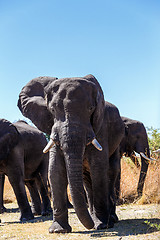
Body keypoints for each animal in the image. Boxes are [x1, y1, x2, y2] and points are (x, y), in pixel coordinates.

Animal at [17, 74, 125, 232]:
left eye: (90, 108)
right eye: (52, 110)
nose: (90, 227)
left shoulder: (101, 127)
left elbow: (98, 169)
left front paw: (101, 225)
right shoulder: (53, 130)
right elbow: (55, 170)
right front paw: (58, 230)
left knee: (111, 171)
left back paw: (110, 220)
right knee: (86, 178)